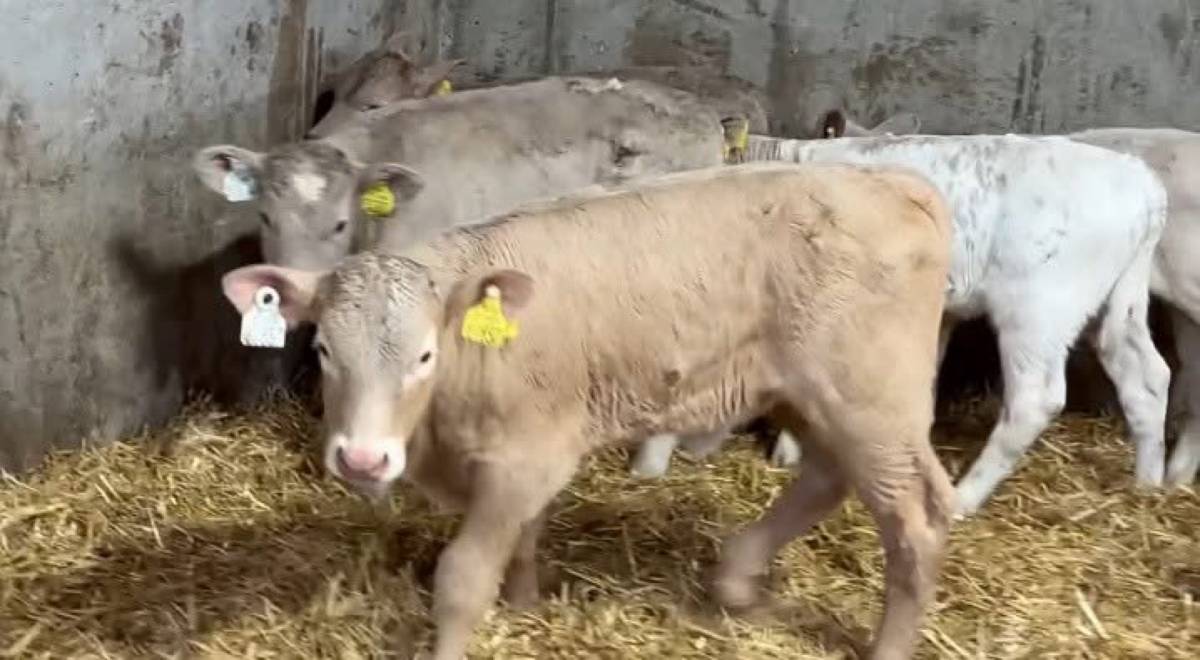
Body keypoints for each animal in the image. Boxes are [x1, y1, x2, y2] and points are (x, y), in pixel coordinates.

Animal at [220, 161, 956, 660]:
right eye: (322, 348)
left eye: (424, 356)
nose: (362, 459)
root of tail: (895, 181)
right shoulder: (533, 452)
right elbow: (526, 537)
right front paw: (524, 601)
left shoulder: (523, 460)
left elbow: (461, 578)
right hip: (809, 392)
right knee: (829, 477)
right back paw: (737, 579)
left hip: (872, 398)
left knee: (914, 519)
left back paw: (886, 645)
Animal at [737, 133, 1171, 517]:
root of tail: (1143, 183)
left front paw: (788, 451)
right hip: (1118, 303)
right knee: (1147, 377)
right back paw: (1147, 486)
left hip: (1038, 309)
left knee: (1034, 401)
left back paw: (963, 499)